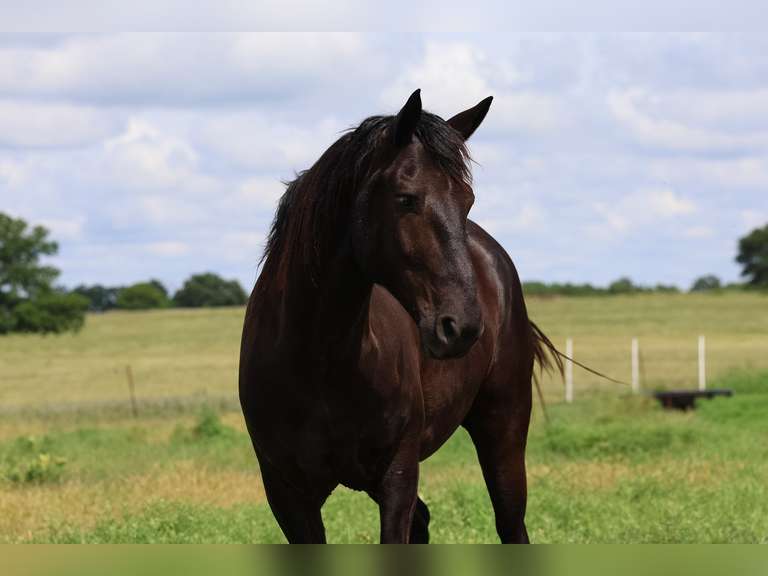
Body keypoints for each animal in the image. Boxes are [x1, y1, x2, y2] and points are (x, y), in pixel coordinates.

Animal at [239, 89, 558, 543]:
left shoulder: (398, 476)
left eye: (467, 200)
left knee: (510, 522)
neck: (320, 359)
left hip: (504, 432)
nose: (462, 327)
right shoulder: (287, 495)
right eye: (406, 198)